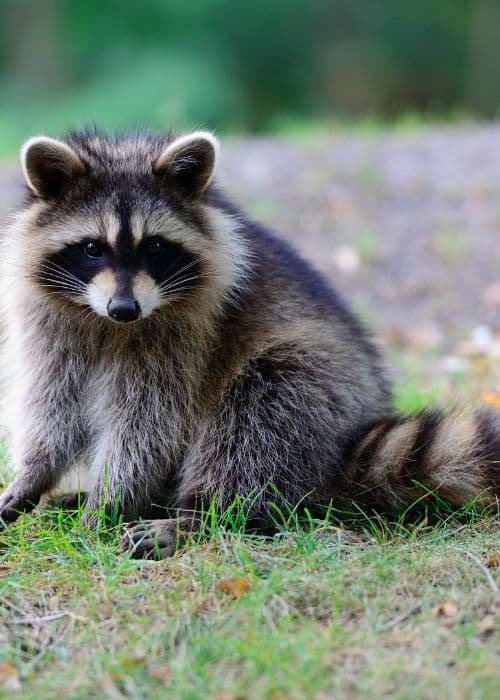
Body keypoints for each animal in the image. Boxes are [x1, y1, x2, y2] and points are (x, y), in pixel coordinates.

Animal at [0, 129, 498, 558]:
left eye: (154, 247)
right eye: (92, 248)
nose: (125, 308)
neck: (106, 323)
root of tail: (351, 438)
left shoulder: (185, 337)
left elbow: (146, 424)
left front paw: (110, 501)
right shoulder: (50, 325)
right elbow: (53, 404)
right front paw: (35, 474)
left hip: (319, 384)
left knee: (257, 417)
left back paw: (200, 515)